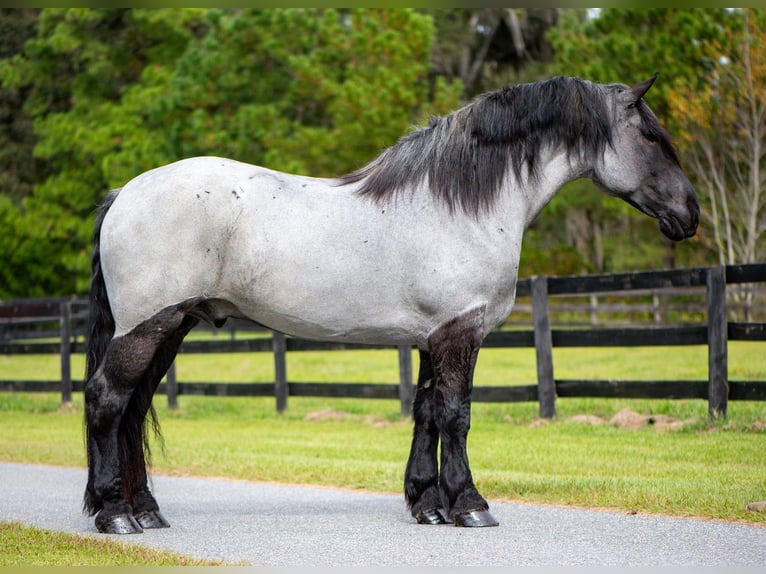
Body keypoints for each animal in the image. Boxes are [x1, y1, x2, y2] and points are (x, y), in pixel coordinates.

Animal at [83, 74, 699, 534]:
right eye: (649, 136)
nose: (689, 214)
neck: (460, 205)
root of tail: (124, 194)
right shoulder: (460, 334)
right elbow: (457, 415)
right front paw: (470, 505)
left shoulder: (433, 338)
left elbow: (426, 413)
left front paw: (427, 504)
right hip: (146, 328)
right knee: (107, 401)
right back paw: (115, 514)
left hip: (172, 327)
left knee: (133, 409)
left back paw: (146, 512)